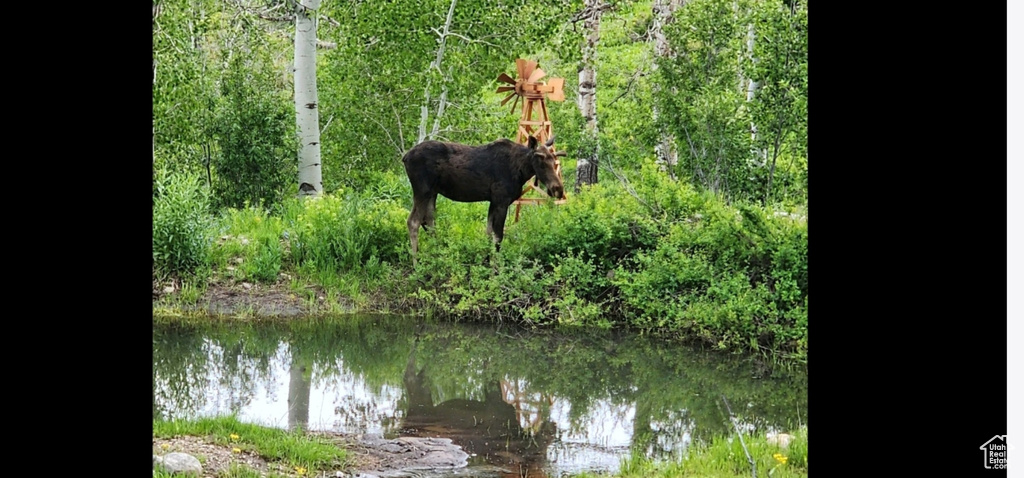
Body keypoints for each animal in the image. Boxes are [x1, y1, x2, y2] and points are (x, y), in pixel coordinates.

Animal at [401, 135, 569, 264]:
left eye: (554, 161)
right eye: (540, 162)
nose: (558, 189)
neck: (521, 171)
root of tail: (405, 157)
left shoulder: (493, 201)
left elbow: (488, 232)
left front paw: (485, 261)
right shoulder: (501, 201)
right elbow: (498, 236)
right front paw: (496, 268)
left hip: (432, 192)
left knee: (429, 221)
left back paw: (436, 256)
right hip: (422, 190)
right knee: (413, 221)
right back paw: (416, 264)